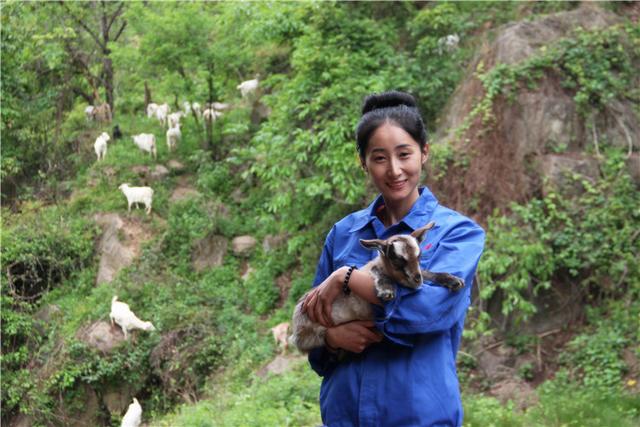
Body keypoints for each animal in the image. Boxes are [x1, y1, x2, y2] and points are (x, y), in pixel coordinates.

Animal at [288, 222, 462, 352]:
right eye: (397, 260)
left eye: (419, 257)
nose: (416, 279)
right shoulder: (371, 271)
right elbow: (379, 273)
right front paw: (387, 290)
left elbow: (429, 273)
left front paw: (452, 280)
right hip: (309, 334)